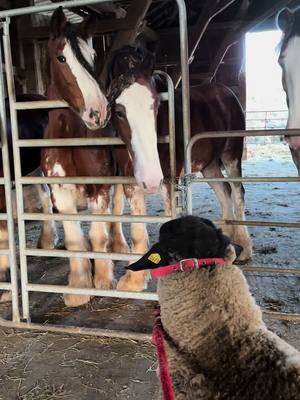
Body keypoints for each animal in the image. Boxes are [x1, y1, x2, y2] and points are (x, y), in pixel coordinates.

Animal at [106, 46, 252, 290]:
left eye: (156, 105)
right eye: (119, 111)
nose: (151, 179)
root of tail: (225, 91)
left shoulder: (169, 180)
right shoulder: (130, 180)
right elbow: (137, 226)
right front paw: (134, 282)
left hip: (231, 154)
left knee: (238, 192)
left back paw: (245, 248)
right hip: (209, 165)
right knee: (224, 193)